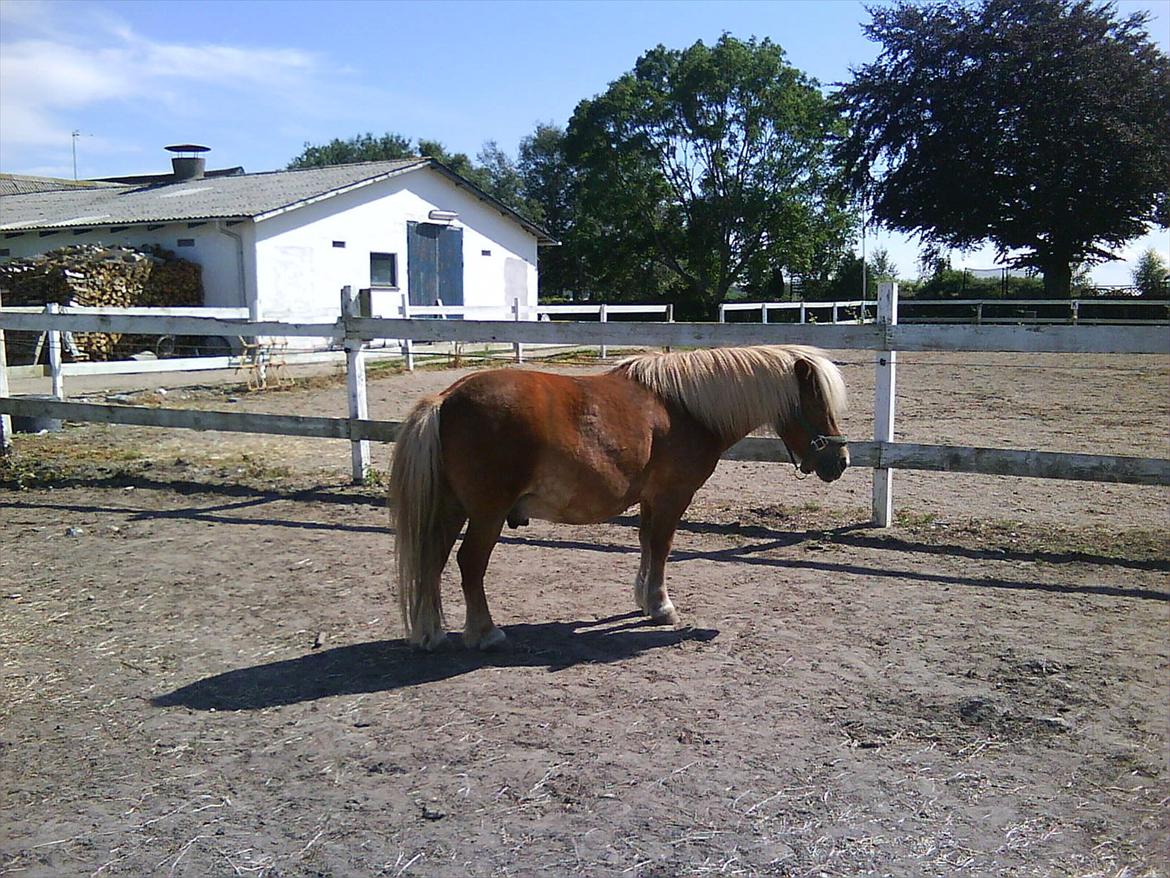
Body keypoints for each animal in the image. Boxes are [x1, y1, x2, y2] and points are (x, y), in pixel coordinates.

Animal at [388, 346, 847, 650]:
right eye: (816, 404)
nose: (839, 461)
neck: (683, 407)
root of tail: (445, 399)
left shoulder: (650, 499)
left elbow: (646, 545)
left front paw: (644, 600)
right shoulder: (672, 497)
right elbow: (661, 547)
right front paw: (662, 607)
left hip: (451, 509)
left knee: (433, 559)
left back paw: (431, 632)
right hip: (487, 513)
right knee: (469, 563)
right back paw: (484, 632)